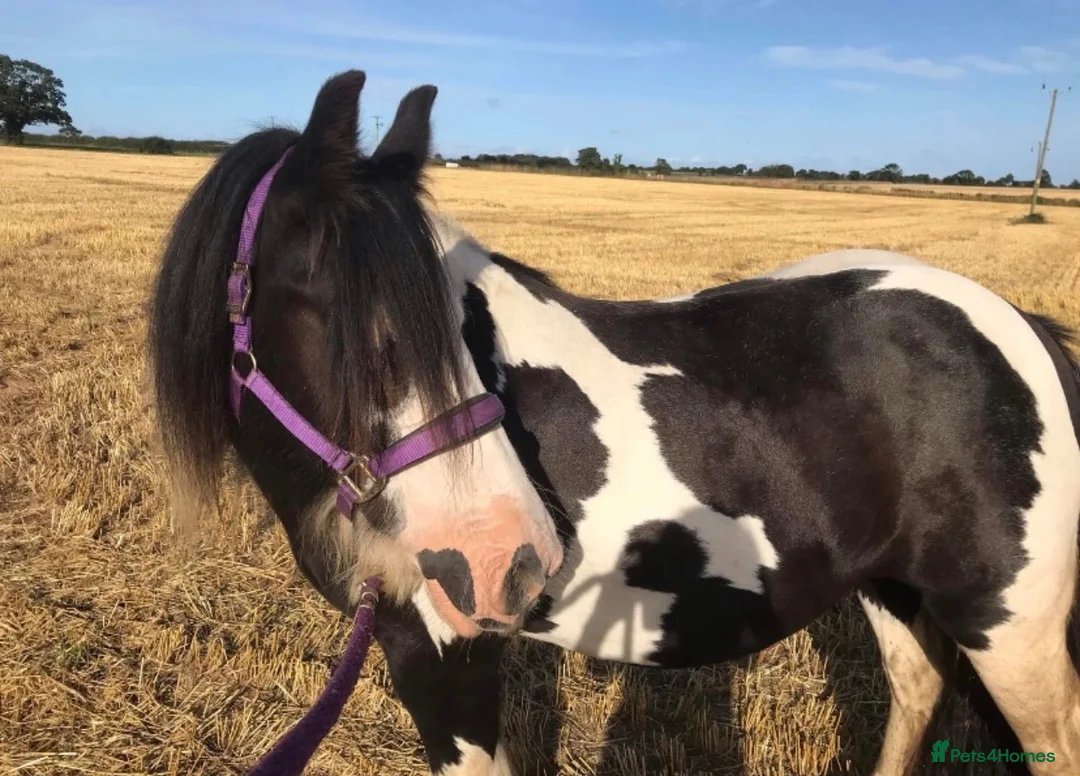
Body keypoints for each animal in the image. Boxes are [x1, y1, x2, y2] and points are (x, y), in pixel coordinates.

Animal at [147, 70, 1080, 776]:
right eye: (366, 334)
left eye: (455, 331)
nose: (512, 561)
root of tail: (1022, 326)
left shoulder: (442, 653)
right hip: (894, 585)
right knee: (917, 690)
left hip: (1010, 625)